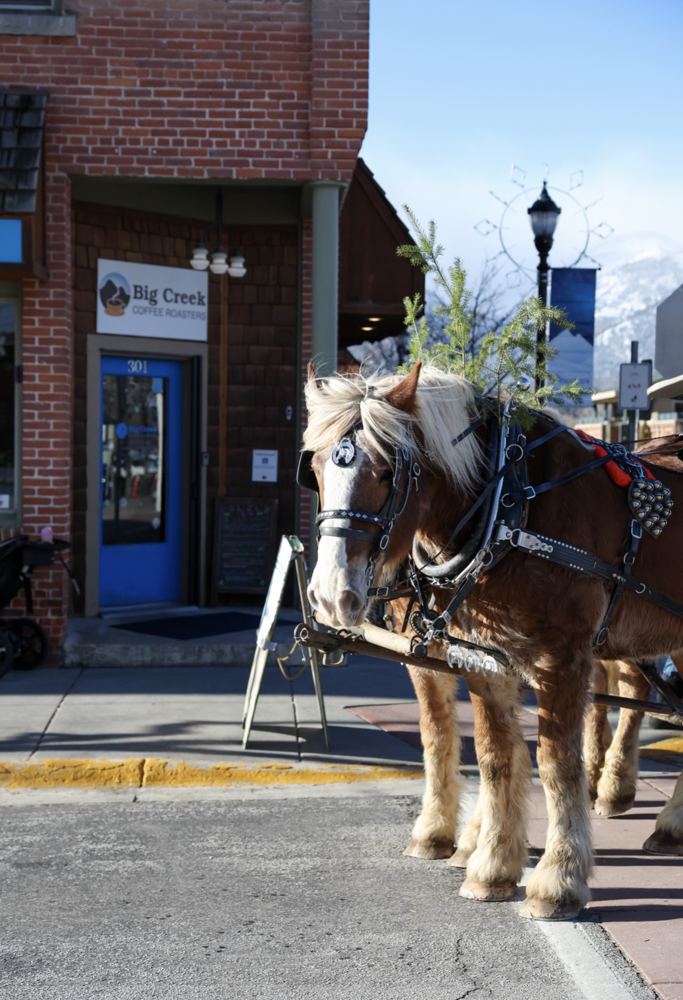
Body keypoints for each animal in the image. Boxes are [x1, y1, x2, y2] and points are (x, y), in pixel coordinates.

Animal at [301, 363, 683, 919]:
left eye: (387, 472)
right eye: (315, 469)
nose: (331, 596)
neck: (509, 508)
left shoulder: (561, 658)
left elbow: (554, 763)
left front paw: (557, 881)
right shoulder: (481, 659)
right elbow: (487, 754)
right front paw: (490, 864)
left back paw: (629, 797)